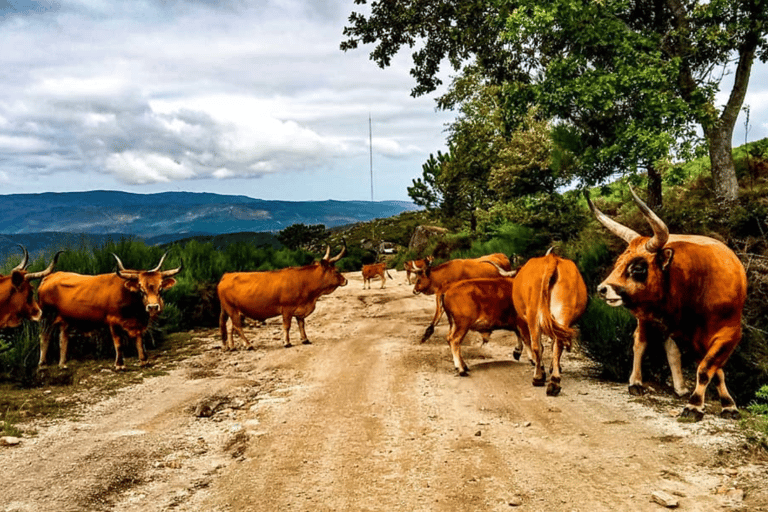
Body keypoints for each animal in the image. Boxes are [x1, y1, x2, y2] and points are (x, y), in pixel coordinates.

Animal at [38, 251, 183, 368]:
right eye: (141, 288)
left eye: (160, 288)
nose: (153, 307)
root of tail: (49, 277)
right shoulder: (113, 321)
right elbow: (118, 343)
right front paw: (119, 364)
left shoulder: (139, 323)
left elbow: (139, 340)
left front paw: (143, 360)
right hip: (47, 316)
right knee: (45, 336)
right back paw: (42, 364)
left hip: (65, 320)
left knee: (63, 338)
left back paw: (62, 364)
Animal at [218, 242, 346, 350]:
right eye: (336, 271)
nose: (346, 280)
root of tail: (226, 275)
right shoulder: (287, 309)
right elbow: (286, 326)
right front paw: (287, 342)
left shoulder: (300, 309)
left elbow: (301, 325)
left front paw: (305, 339)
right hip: (232, 309)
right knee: (237, 327)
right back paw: (248, 345)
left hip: (233, 310)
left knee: (229, 326)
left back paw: (232, 346)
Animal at [492, 248, 588, 396]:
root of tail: (552, 259)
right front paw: (554, 367)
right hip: (563, 313)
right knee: (558, 344)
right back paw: (554, 381)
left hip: (534, 315)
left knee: (537, 345)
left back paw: (538, 377)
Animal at [588, 187, 744, 420]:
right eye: (618, 263)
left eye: (638, 268)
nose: (602, 289)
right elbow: (707, 368)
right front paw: (695, 405)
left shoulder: (729, 333)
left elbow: (710, 368)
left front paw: (725, 404)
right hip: (646, 318)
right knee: (640, 342)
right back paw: (636, 382)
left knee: (671, 349)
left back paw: (680, 388)